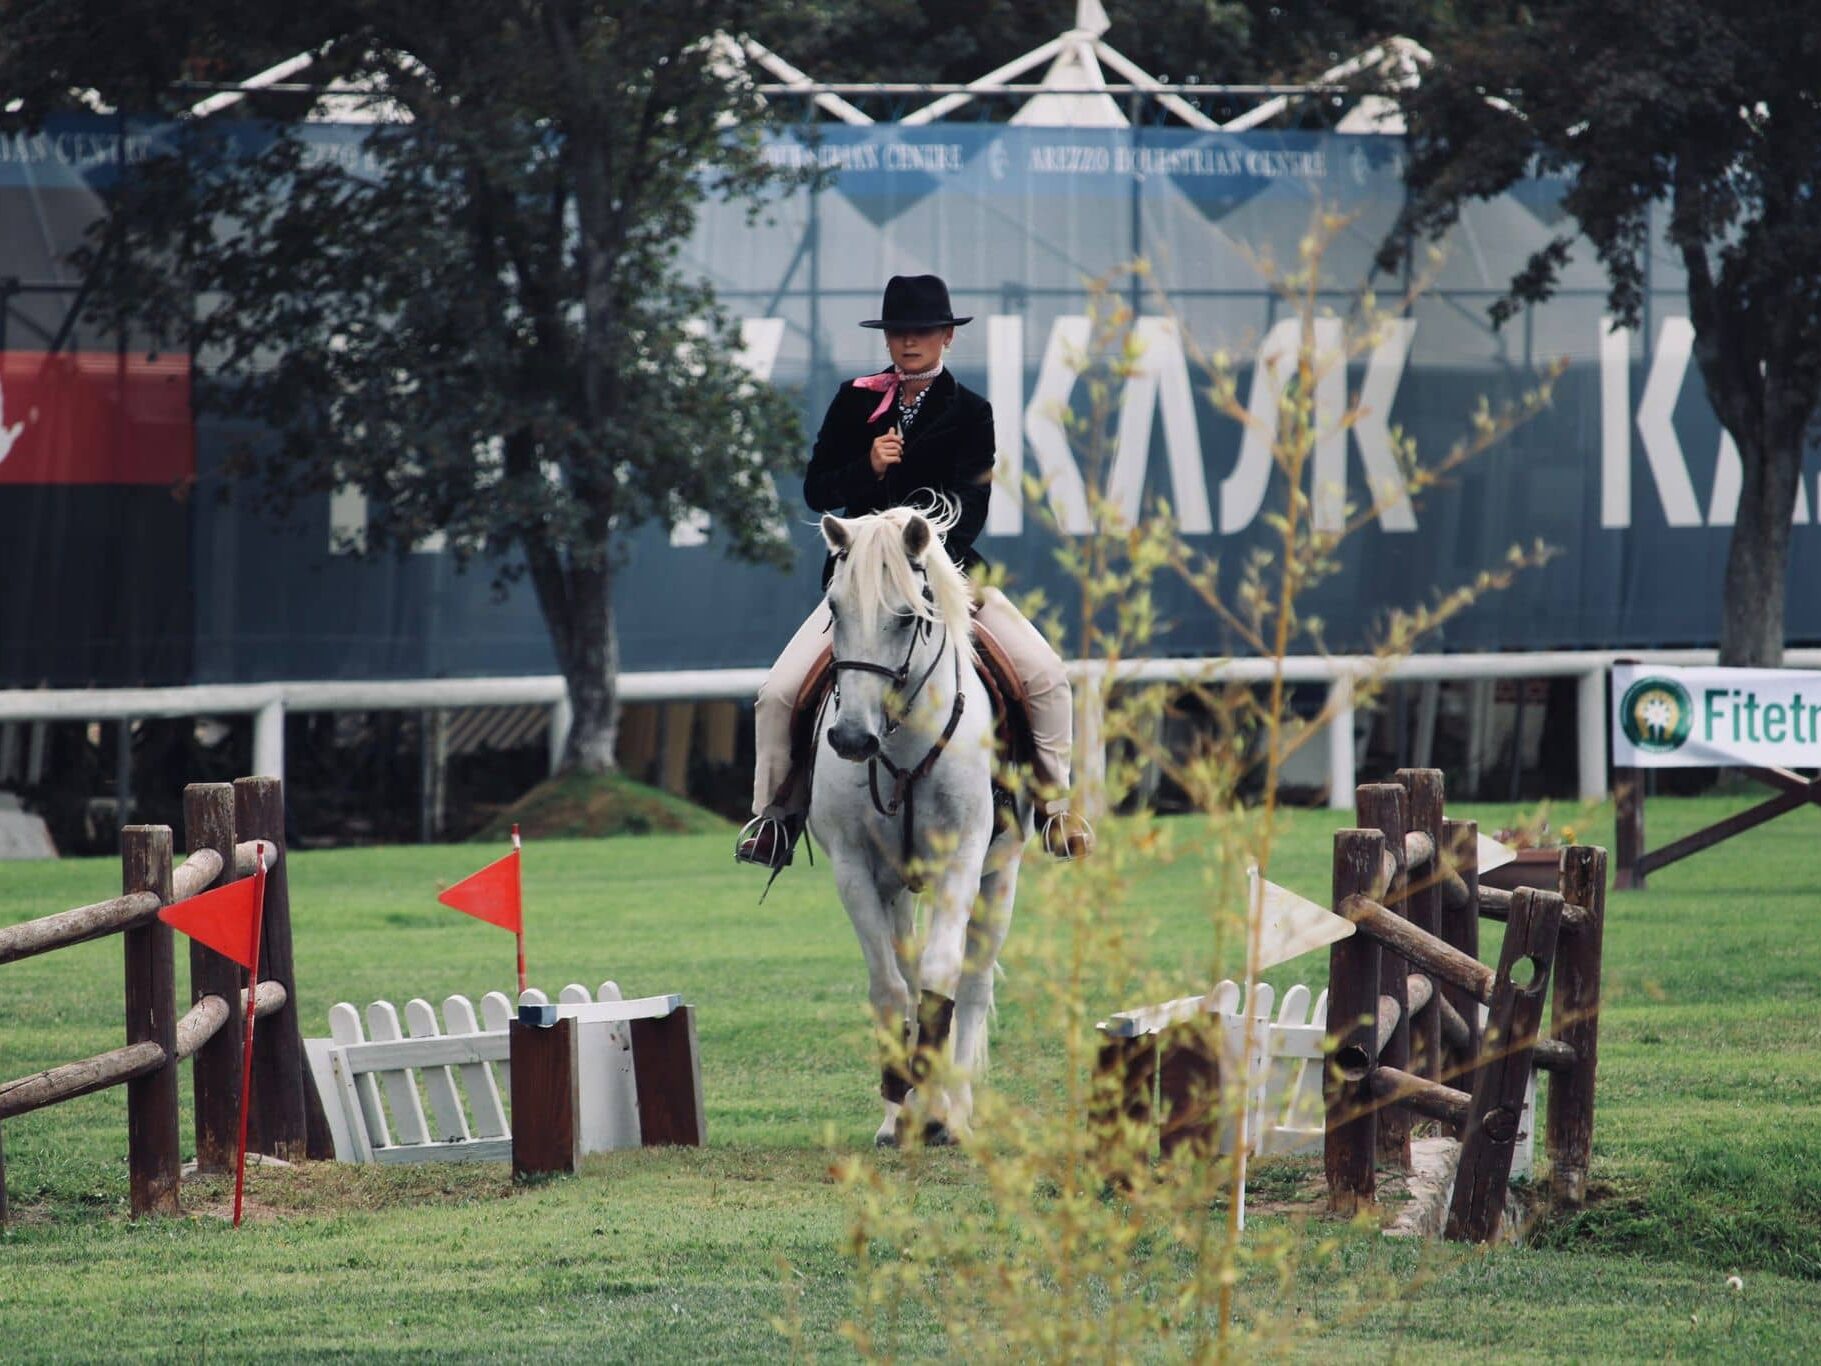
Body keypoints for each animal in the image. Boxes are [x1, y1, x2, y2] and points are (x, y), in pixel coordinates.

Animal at [808, 502, 1027, 1143]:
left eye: (907, 616)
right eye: (834, 608)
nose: (852, 739)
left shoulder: (963, 860)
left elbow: (941, 977)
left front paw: (938, 1112)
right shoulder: (855, 868)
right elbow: (889, 986)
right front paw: (898, 1105)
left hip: (1001, 875)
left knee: (973, 985)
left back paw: (957, 1106)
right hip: (898, 887)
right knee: (905, 973)